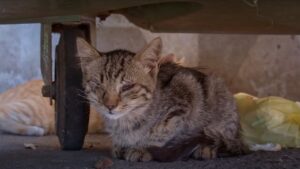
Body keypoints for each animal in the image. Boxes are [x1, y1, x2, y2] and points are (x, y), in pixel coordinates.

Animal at [76, 37, 245, 162]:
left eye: (127, 87)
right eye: (98, 85)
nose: (110, 106)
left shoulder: (184, 91)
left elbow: (162, 132)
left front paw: (143, 148)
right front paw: (120, 144)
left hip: (218, 93)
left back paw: (206, 147)